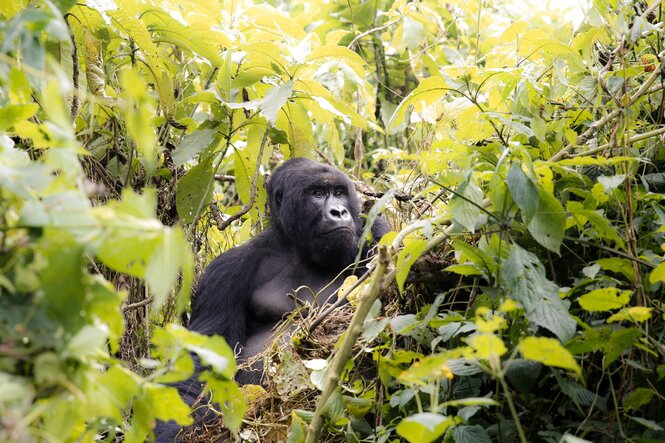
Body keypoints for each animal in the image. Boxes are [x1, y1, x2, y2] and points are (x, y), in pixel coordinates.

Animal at [154, 158, 390, 442]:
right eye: (318, 194)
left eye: (339, 192)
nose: (339, 212)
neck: (296, 247)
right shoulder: (225, 271)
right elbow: (203, 360)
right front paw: (174, 429)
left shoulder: (376, 231)